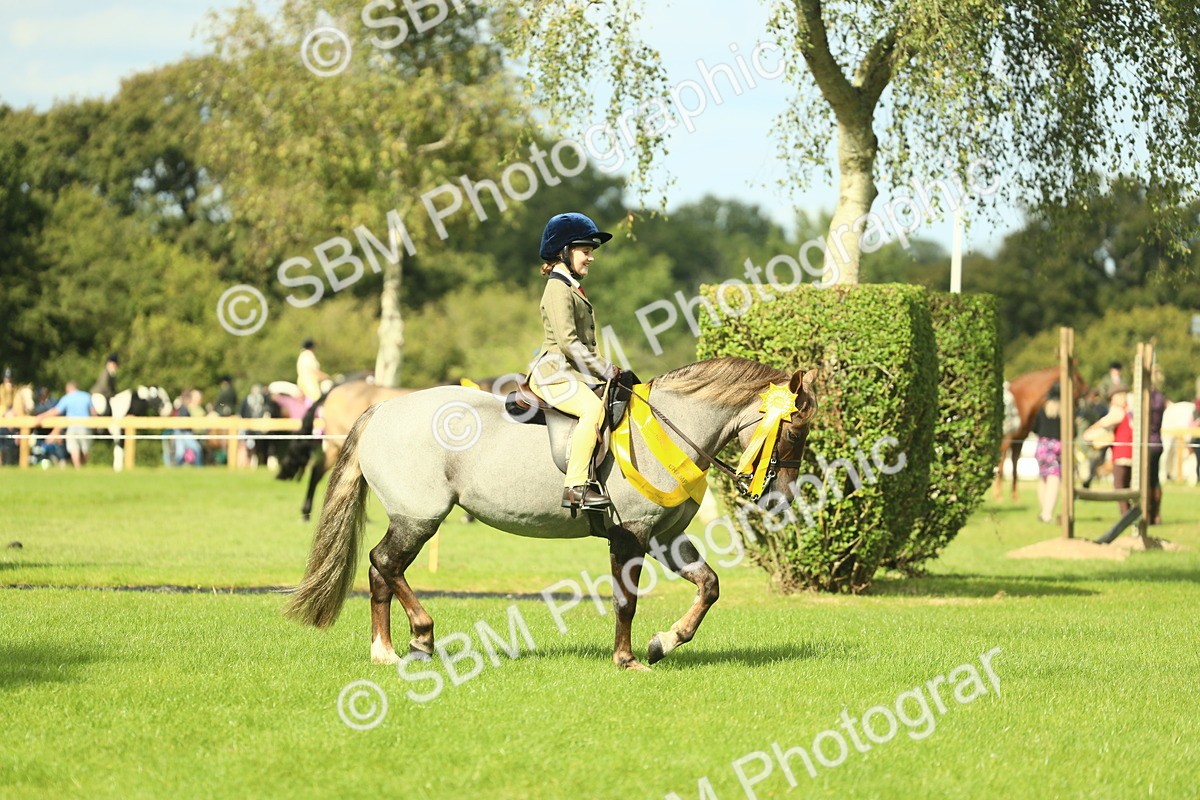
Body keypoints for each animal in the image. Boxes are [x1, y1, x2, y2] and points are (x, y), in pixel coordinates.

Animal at [994, 366, 1087, 501]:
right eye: (1078, 378)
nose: (1088, 391)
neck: (1021, 401)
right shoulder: (1006, 440)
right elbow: (1001, 465)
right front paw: (998, 495)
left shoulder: (1019, 440)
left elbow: (1015, 466)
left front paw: (1015, 496)